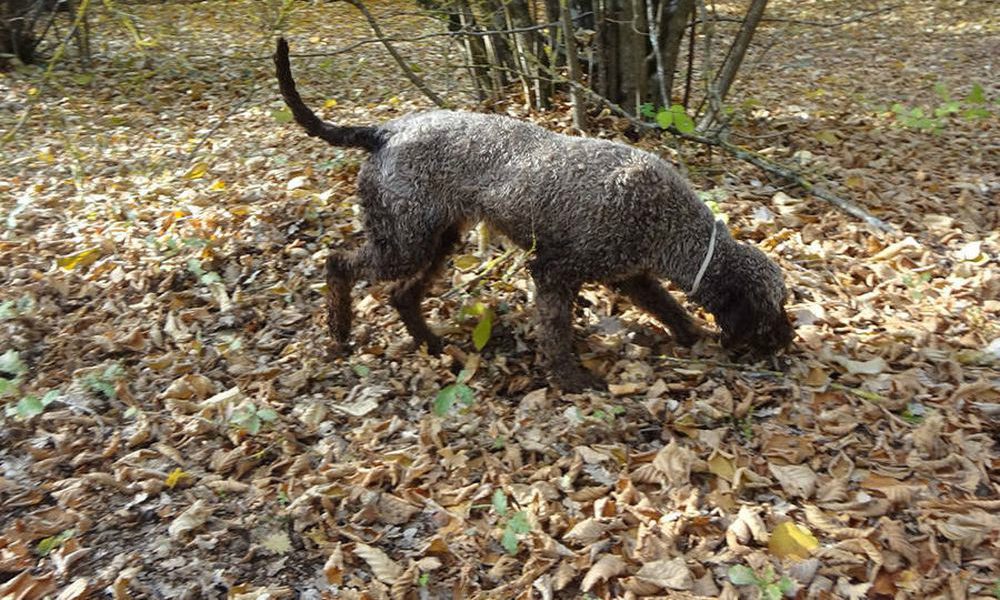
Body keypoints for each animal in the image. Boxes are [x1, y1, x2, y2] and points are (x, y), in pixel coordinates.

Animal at [276, 38, 796, 394]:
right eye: (772, 310)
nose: (789, 341)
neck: (667, 222)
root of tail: (385, 131)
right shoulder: (553, 272)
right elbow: (556, 335)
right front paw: (571, 381)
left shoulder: (631, 275)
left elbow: (668, 307)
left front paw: (690, 334)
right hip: (404, 243)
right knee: (338, 264)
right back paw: (340, 333)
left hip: (437, 239)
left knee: (402, 295)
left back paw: (430, 343)